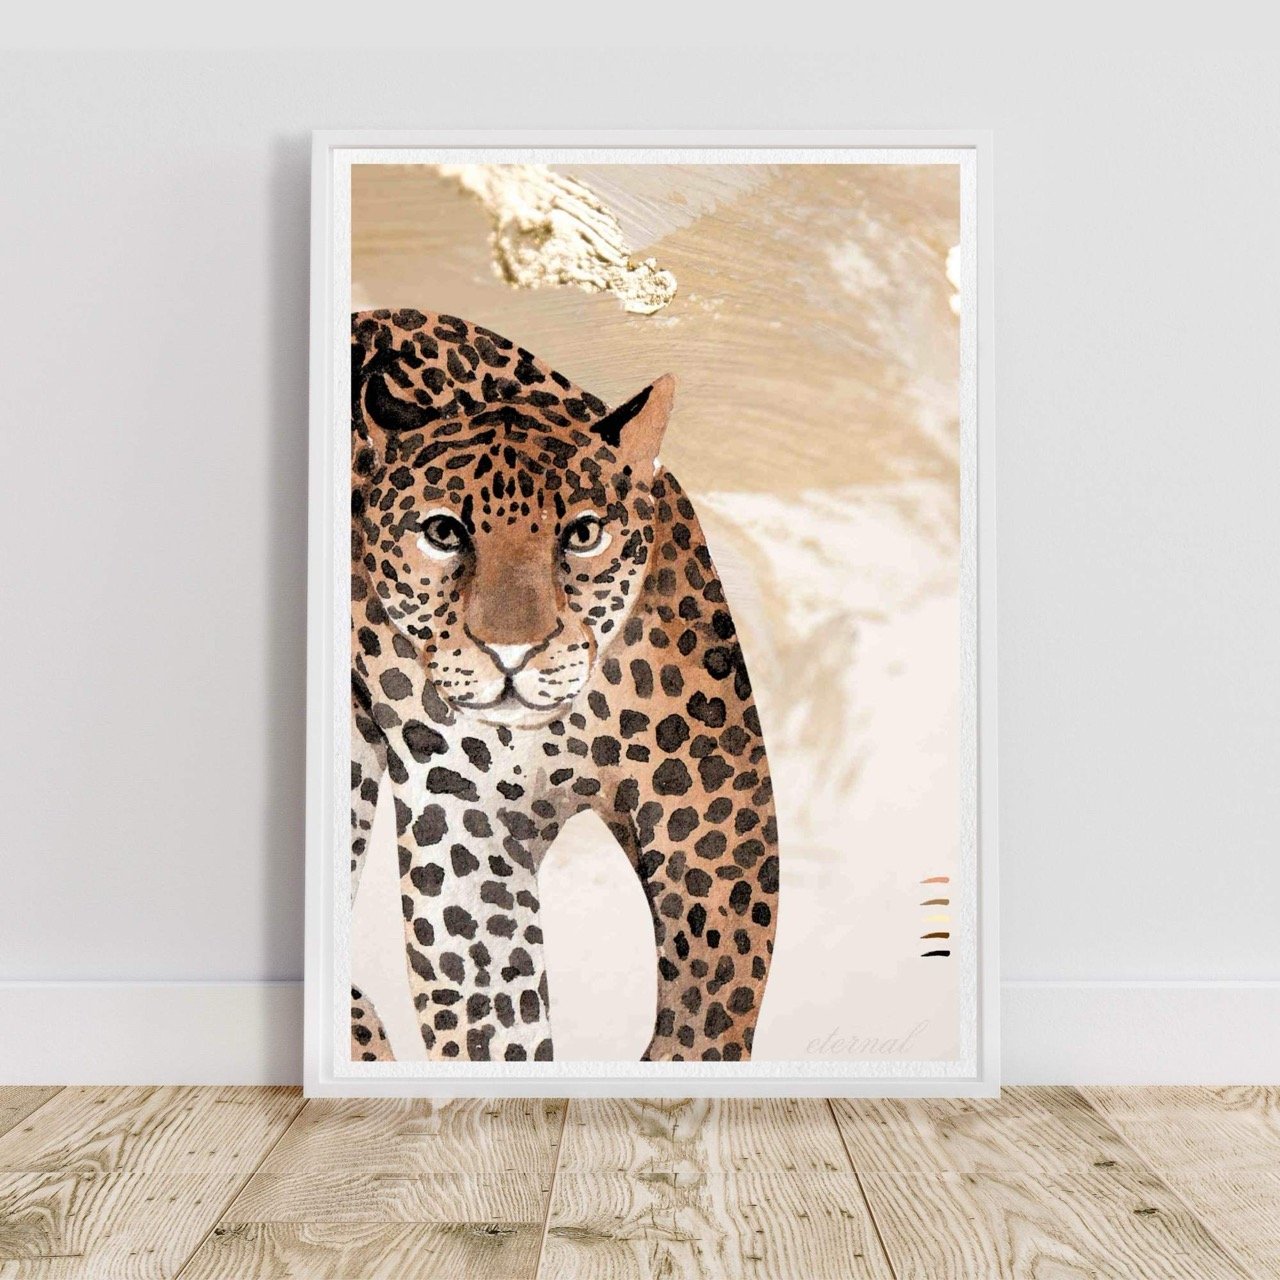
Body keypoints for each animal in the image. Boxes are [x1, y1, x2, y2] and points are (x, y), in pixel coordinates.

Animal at [349, 308, 779, 1064]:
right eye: (443, 532)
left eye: (582, 534)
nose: (511, 651)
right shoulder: (467, 830)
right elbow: (492, 1013)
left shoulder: (712, 796)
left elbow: (715, 987)